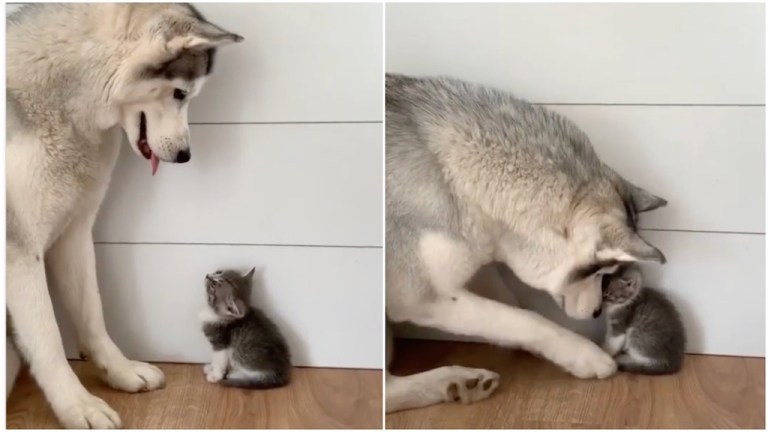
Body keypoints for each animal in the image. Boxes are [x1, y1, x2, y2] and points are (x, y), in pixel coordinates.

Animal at [5, 4, 240, 428]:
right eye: (180, 93)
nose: (186, 156)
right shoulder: (19, 250)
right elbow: (48, 337)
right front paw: (77, 404)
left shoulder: (75, 232)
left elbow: (93, 314)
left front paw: (120, 372)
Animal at [384, 74, 664, 412]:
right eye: (596, 271)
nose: (598, 312)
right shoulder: (421, 297)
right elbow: (522, 319)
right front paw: (584, 354)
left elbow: (508, 308)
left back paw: (455, 382)